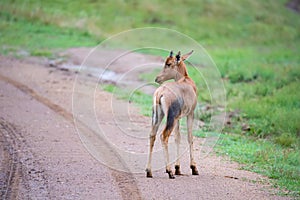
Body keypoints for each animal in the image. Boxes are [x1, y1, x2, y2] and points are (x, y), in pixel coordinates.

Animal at [146, 50, 199, 178]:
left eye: (169, 63)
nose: (157, 78)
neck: (186, 80)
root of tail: (160, 92)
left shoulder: (178, 118)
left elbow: (177, 138)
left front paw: (178, 168)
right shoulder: (190, 114)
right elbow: (190, 137)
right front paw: (194, 168)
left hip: (158, 116)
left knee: (152, 135)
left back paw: (149, 171)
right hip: (170, 118)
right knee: (163, 136)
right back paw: (169, 171)